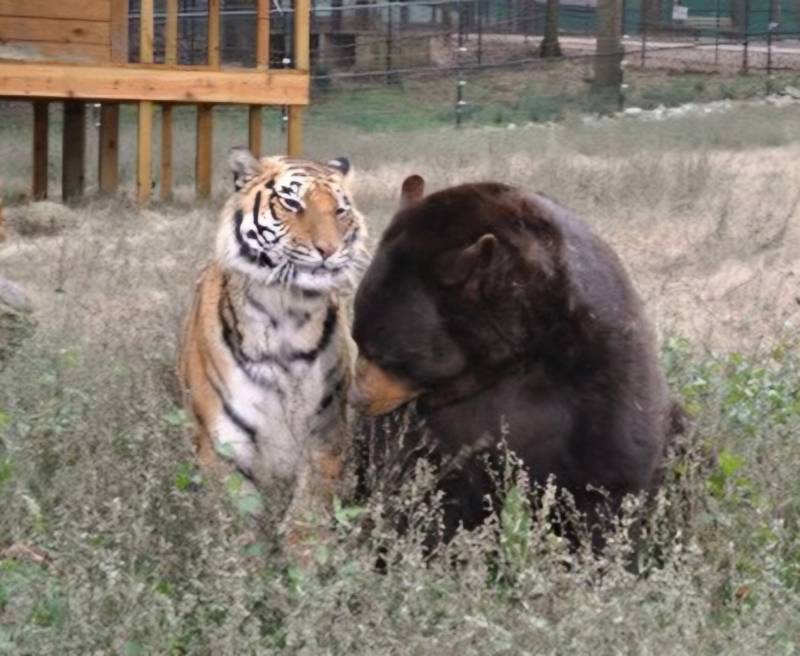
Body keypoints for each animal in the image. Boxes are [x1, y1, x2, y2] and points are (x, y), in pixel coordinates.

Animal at [178, 150, 368, 564]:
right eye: (292, 203)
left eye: (340, 210)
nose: (328, 251)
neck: (287, 313)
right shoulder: (224, 445)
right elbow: (239, 522)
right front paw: (242, 571)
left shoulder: (326, 434)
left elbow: (308, 510)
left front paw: (307, 564)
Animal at [352, 177, 680, 552]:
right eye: (356, 339)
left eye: (384, 353)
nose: (357, 400)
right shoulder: (427, 424)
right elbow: (419, 475)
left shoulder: (602, 363)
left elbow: (611, 477)